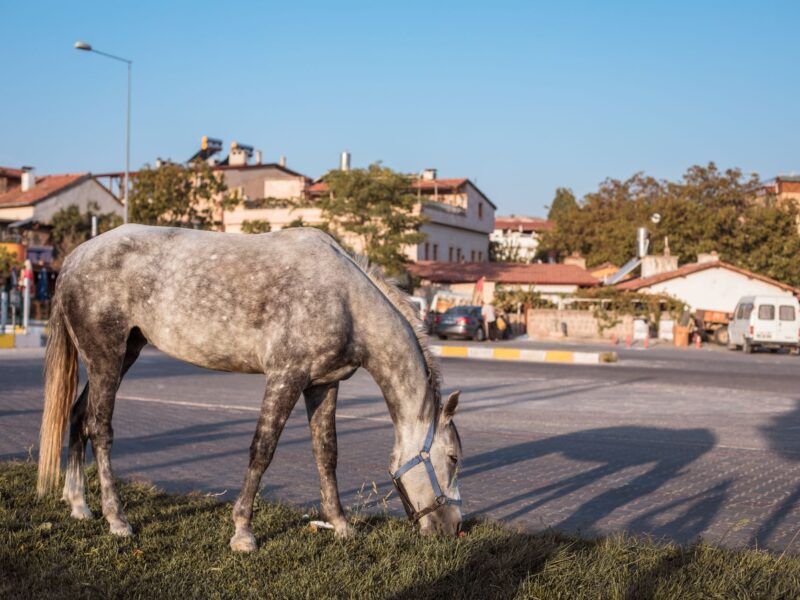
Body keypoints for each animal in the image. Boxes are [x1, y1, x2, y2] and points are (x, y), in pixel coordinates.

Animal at [37, 224, 463, 551]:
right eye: (454, 457)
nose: (453, 528)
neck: (346, 300)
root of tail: (74, 259)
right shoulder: (285, 376)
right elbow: (262, 450)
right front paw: (243, 532)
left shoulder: (323, 386)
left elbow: (326, 454)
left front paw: (340, 524)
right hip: (106, 358)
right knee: (100, 429)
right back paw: (117, 519)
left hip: (124, 353)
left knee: (78, 416)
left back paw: (79, 505)